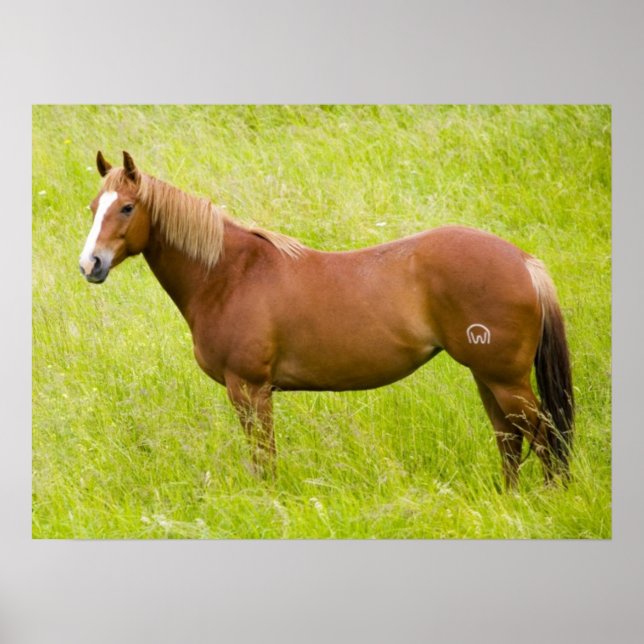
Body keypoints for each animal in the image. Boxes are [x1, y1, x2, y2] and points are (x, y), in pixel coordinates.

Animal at [79, 151, 574, 489]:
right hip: (486, 377)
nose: (90, 264)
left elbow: (264, 458)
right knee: (510, 439)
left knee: (543, 437)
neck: (230, 274)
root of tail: (523, 260)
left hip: (505, 379)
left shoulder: (249, 389)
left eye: (126, 207)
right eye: (93, 207)